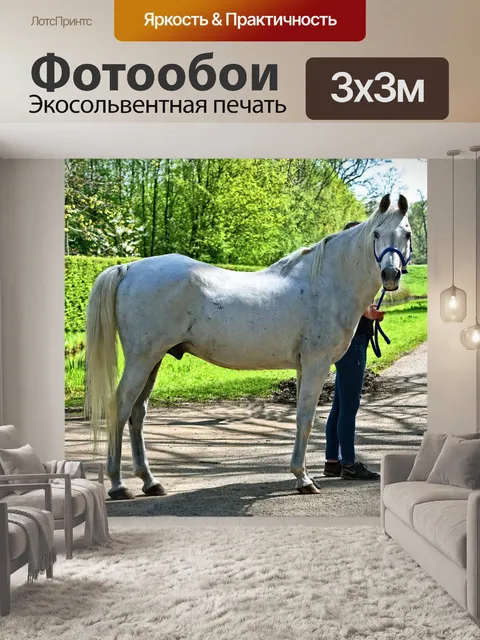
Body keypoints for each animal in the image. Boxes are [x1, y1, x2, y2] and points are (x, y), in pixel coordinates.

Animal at [85, 194, 412, 500]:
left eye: (406, 234)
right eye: (376, 234)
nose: (390, 275)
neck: (327, 282)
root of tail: (128, 268)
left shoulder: (304, 366)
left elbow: (302, 419)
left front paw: (301, 474)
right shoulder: (316, 364)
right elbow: (306, 419)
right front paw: (303, 479)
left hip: (153, 361)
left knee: (137, 413)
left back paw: (150, 482)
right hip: (141, 359)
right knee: (121, 408)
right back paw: (117, 485)